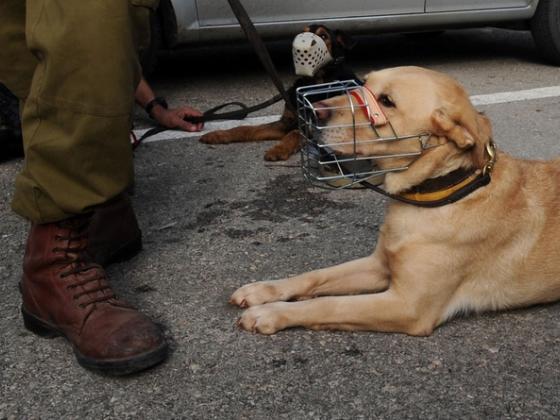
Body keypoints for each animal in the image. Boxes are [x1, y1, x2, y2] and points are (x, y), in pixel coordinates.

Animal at [201, 25, 356, 161]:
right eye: (302, 32)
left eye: (324, 36)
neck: (314, 82)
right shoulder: (286, 122)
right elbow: (246, 128)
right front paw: (219, 134)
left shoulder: (310, 128)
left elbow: (294, 134)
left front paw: (278, 150)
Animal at [229, 66, 560, 334]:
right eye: (364, 83)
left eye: (387, 101)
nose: (312, 112)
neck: (440, 192)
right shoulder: (378, 265)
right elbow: (314, 276)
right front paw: (264, 290)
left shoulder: (407, 306)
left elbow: (330, 304)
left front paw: (270, 313)